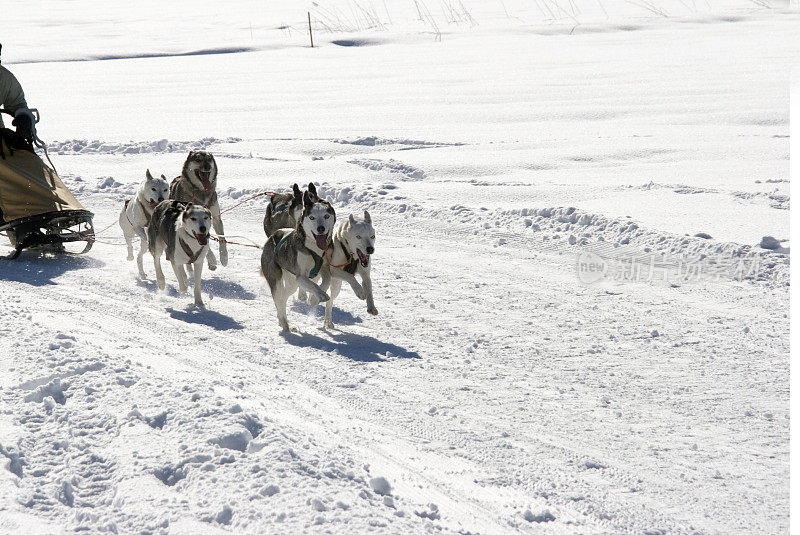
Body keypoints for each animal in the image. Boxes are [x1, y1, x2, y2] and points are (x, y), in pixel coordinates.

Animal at [260, 188, 364, 330]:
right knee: (278, 298)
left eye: (326, 216)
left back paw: (283, 320)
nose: (321, 229)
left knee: (284, 297)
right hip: (276, 277)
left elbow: (326, 280)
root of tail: (273, 236)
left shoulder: (325, 268)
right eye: (312, 217)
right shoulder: (301, 276)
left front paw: (314, 298)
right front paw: (320, 295)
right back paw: (284, 323)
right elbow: (312, 284)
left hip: (292, 283)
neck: (314, 248)